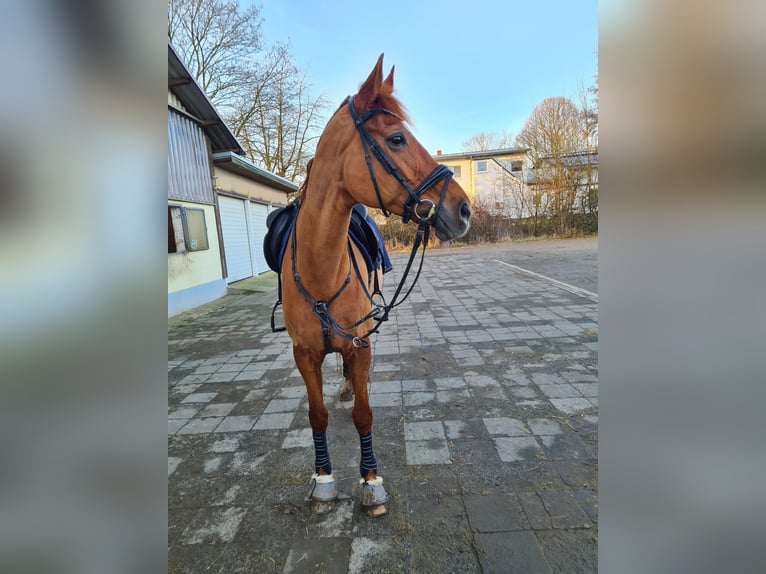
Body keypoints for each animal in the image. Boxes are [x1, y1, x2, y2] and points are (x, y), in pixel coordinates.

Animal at [282, 55, 474, 516]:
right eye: (397, 138)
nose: (464, 210)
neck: (320, 269)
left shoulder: (361, 343)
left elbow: (364, 415)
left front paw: (371, 482)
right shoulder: (304, 355)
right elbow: (317, 416)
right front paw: (323, 481)